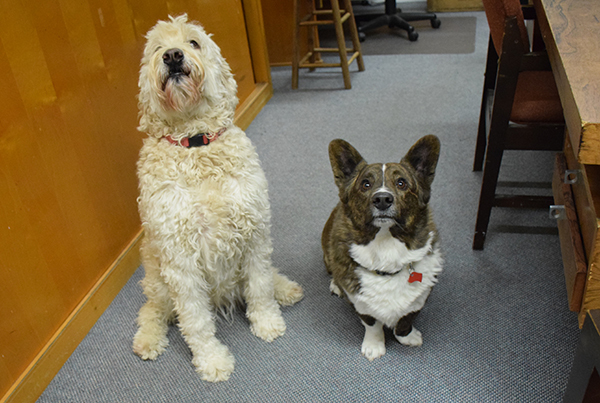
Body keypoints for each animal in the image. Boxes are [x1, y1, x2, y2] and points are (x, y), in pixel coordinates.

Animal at [131, 15, 300, 382]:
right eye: (156, 48)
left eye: (193, 42)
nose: (173, 55)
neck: (196, 144)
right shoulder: (180, 260)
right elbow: (195, 320)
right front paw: (211, 360)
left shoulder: (254, 231)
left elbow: (259, 286)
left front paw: (267, 321)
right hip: (157, 280)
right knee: (152, 310)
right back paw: (147, 338)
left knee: (266, 275)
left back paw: (284, 287)